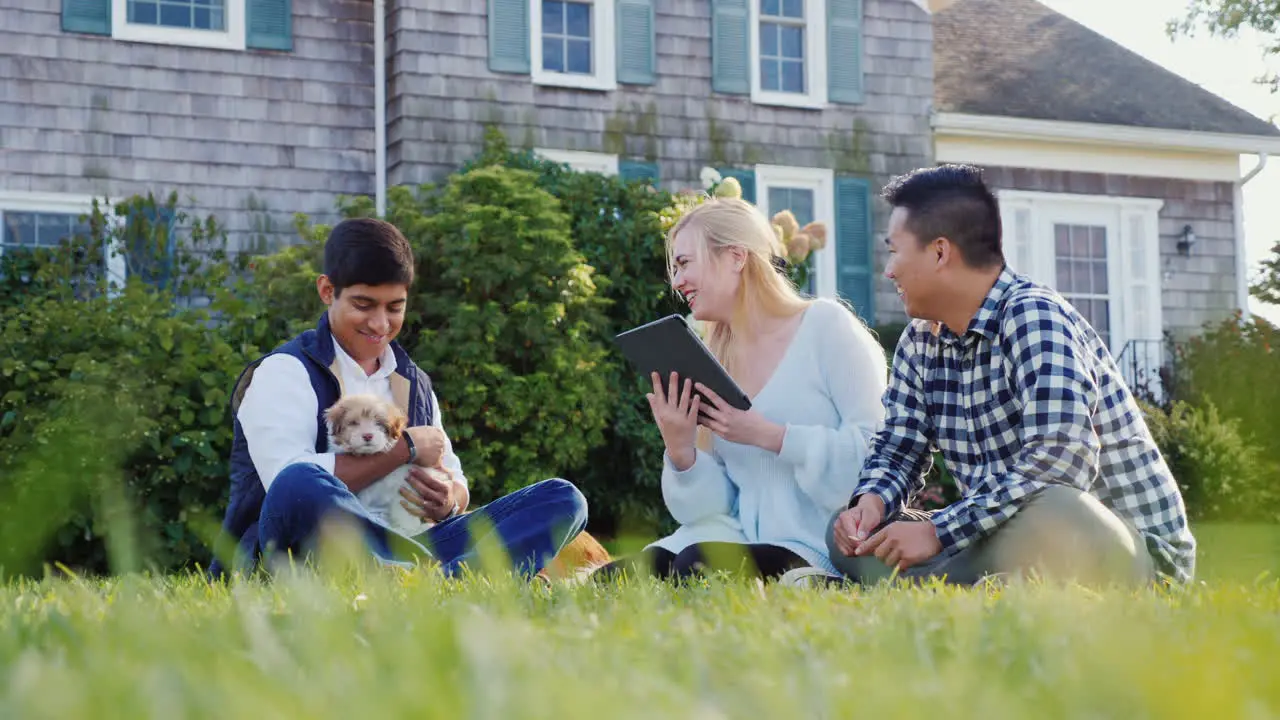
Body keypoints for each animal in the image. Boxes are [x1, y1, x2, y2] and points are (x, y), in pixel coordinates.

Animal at [325, 389, 450, 535]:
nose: (368, 436)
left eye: (378, 423)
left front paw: (410, 530)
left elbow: (403, 508)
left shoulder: (406, 484)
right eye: (354, 423)